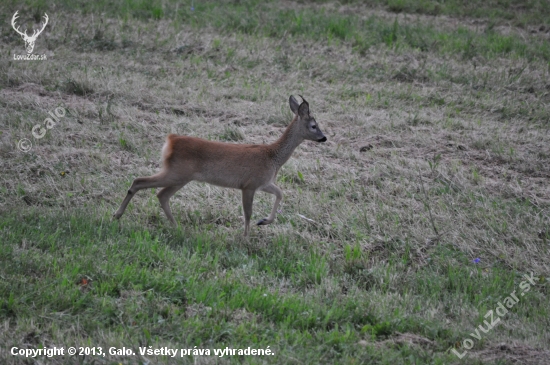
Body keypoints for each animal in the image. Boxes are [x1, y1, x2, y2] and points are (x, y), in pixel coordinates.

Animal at [113, 94, 328, 236]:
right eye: (313, 126)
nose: (324, 138)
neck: (273, 157)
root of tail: (171, 140)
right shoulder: (249, 184)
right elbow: (248, 212)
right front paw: (246, 237)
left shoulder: (263, 182)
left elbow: (280, 193)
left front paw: (264, 221)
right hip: (177, 173)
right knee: (139, 181)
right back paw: (117, 215)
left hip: (181, 176)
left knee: (161, 194)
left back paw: (176, 226)